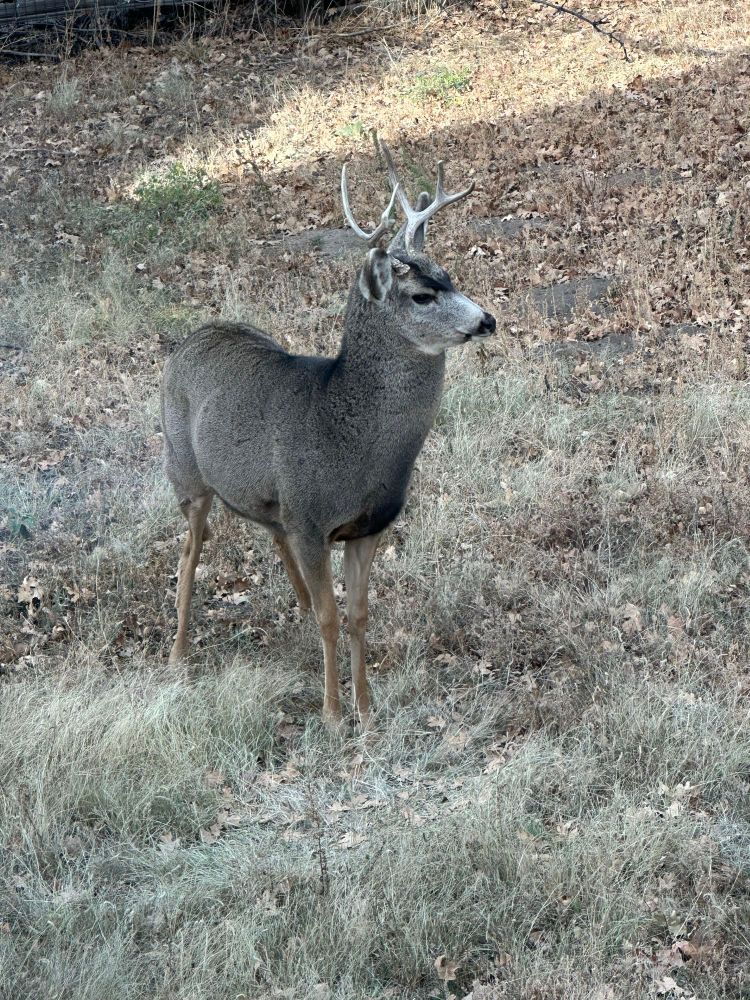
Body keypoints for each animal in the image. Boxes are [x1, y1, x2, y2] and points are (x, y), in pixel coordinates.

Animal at [161, 142, 495, 728]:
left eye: (450, 275)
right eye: (421, 295)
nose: (487, 320)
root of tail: (192, 335)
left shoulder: (365, 525)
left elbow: (358, 614)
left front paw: (366, 706)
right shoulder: (313, 520)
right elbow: (331, 617)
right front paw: (333, 713)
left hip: (266, 497)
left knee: (268, 532)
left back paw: (291, 611)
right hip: (186, 474)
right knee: (188, 555)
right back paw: (178, 656)